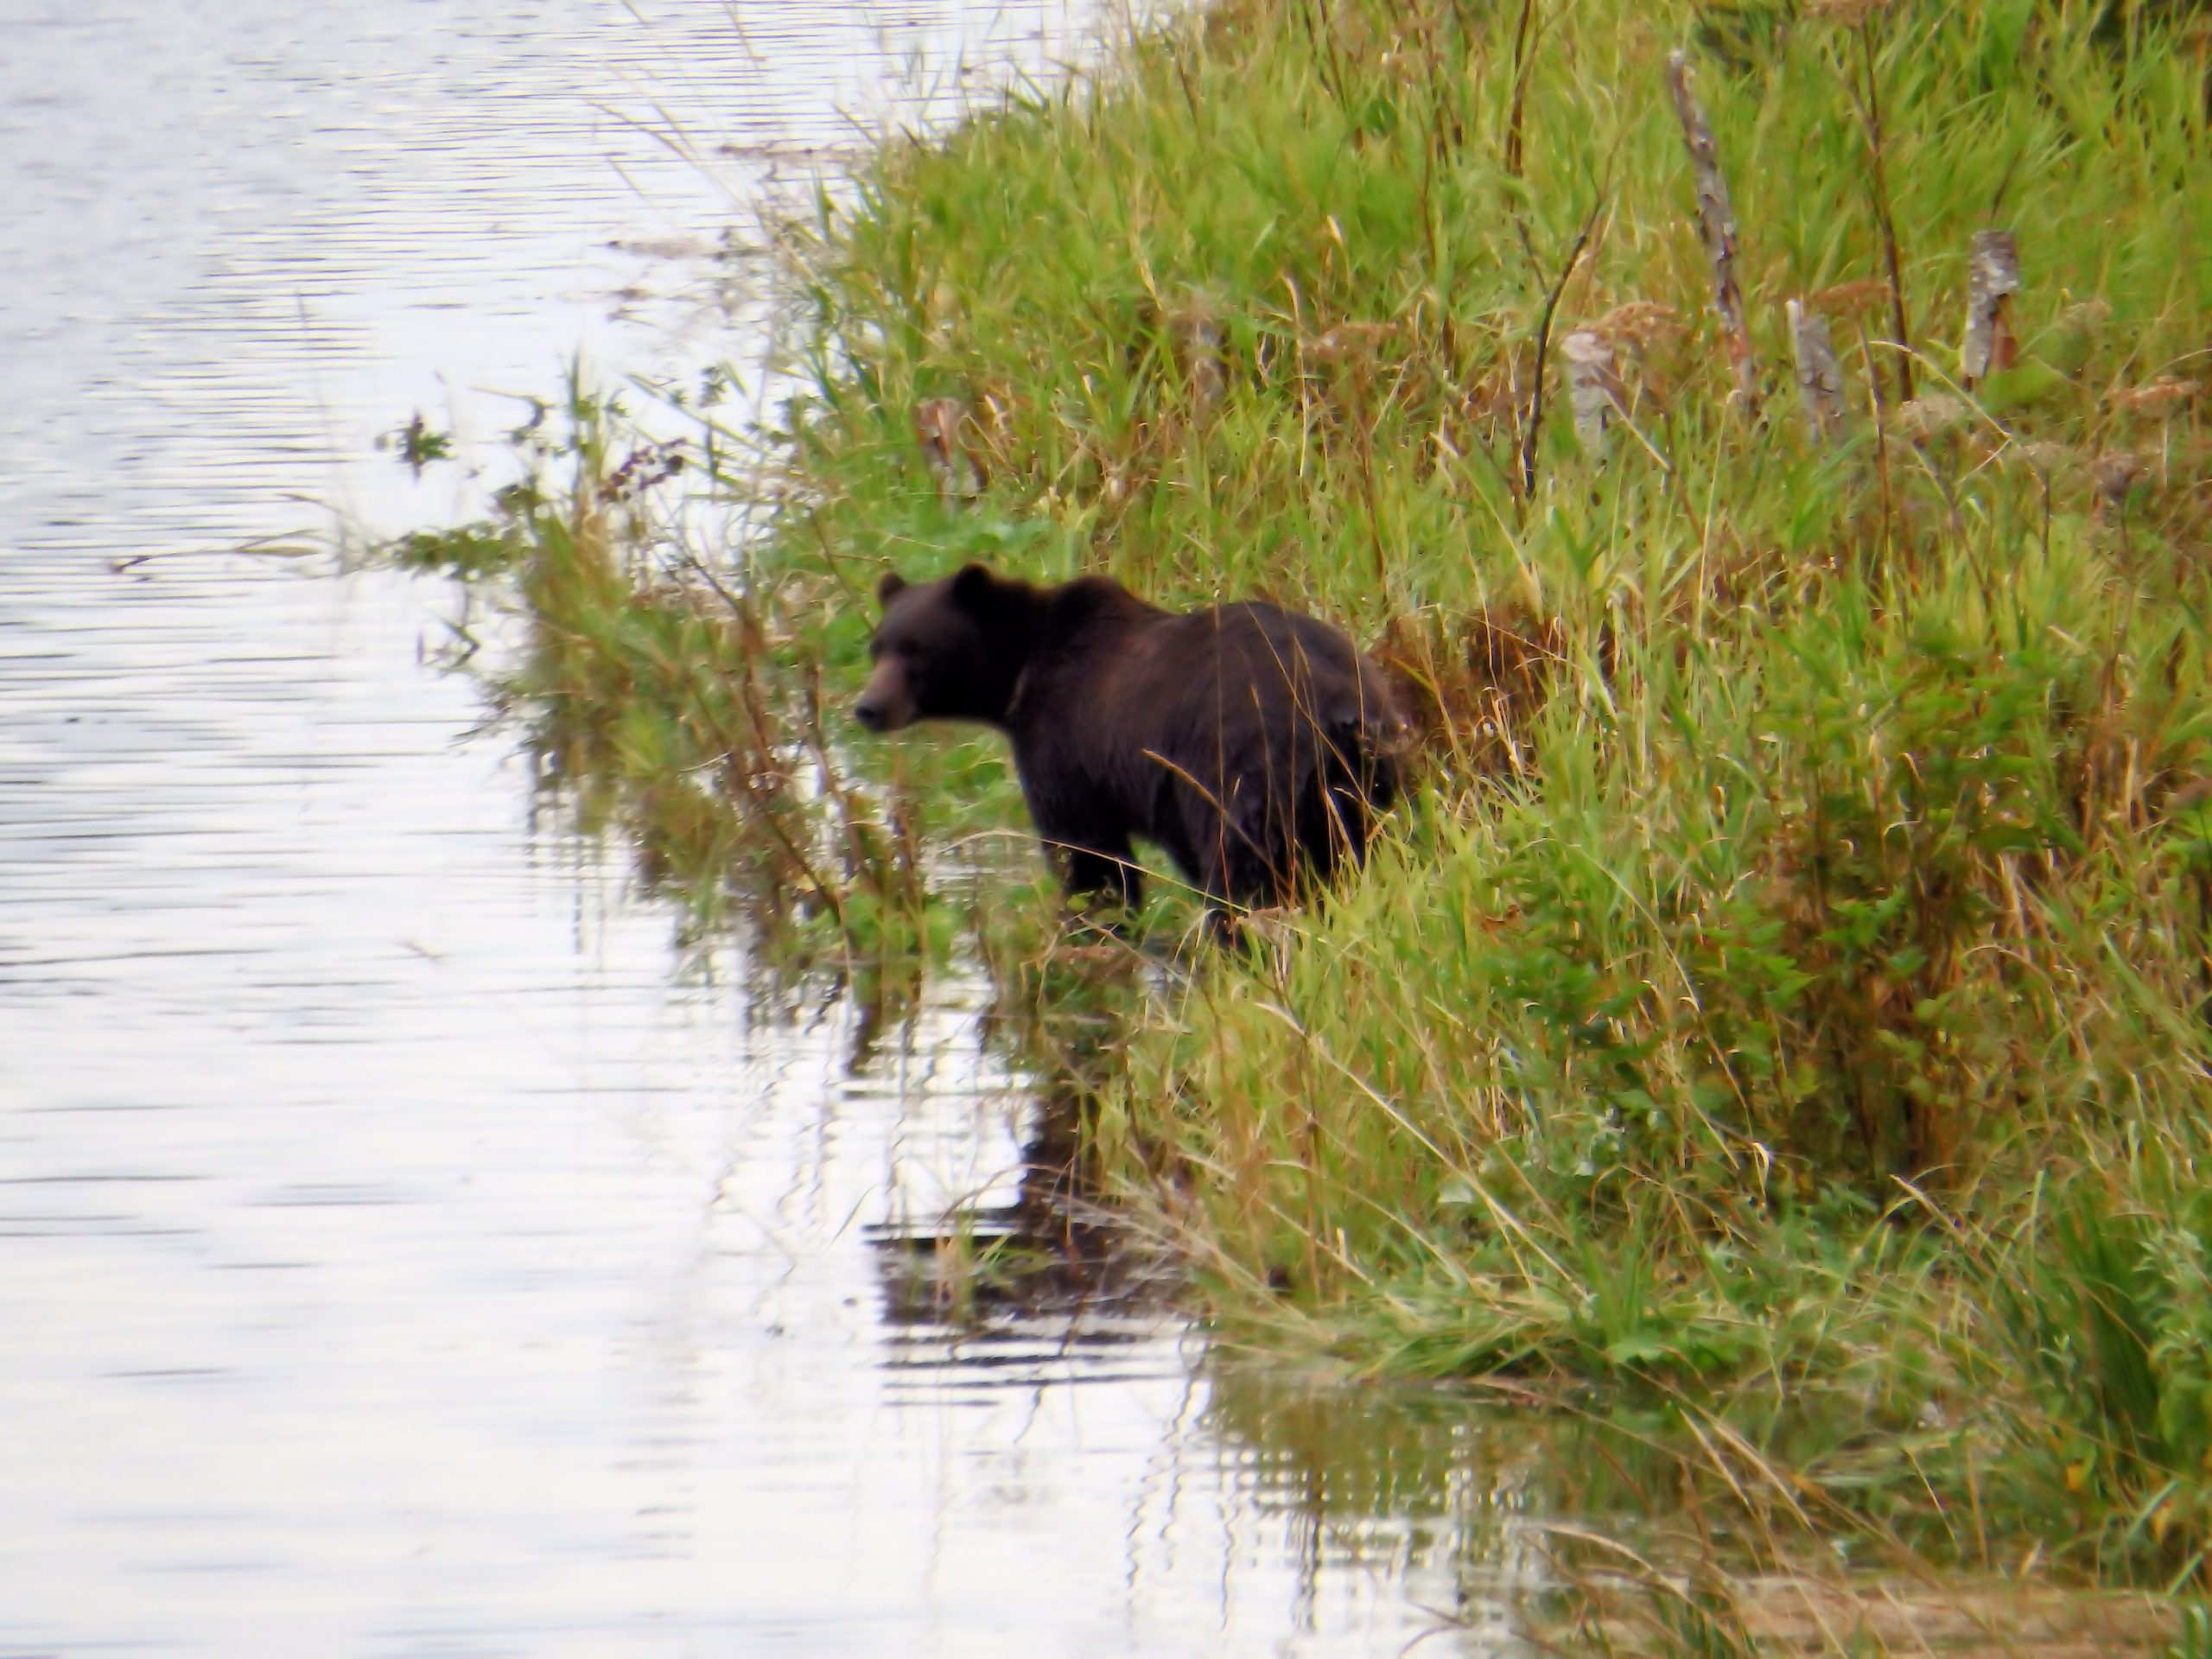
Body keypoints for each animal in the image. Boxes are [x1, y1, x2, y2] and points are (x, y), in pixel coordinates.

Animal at [854, 562, 1408, 920]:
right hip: (1362, 774)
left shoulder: (1064, 742)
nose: (867, 707)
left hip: (1248, 764)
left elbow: (1088, 852)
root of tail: (1338, 701)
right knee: (1355, 848)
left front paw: (1091, 916)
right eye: (877, 647)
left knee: (1244, 868)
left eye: (916, 650)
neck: (1020, 676)